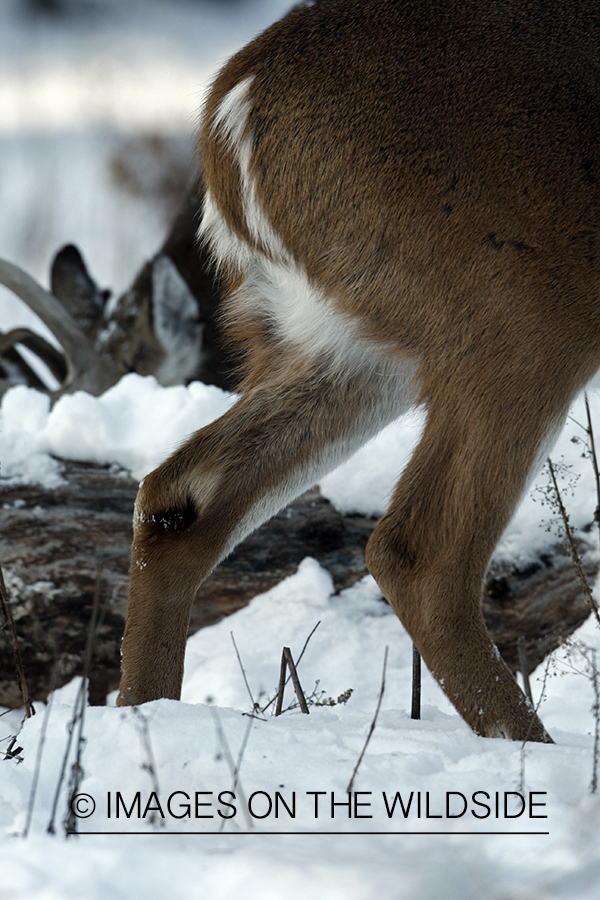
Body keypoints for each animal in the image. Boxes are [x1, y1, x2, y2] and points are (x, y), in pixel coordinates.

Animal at [115, 0, 600, 740]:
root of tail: (230, 108)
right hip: (523, 310)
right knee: (419, 554)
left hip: (349, 342)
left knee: (179, 496)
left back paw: (148, 720)